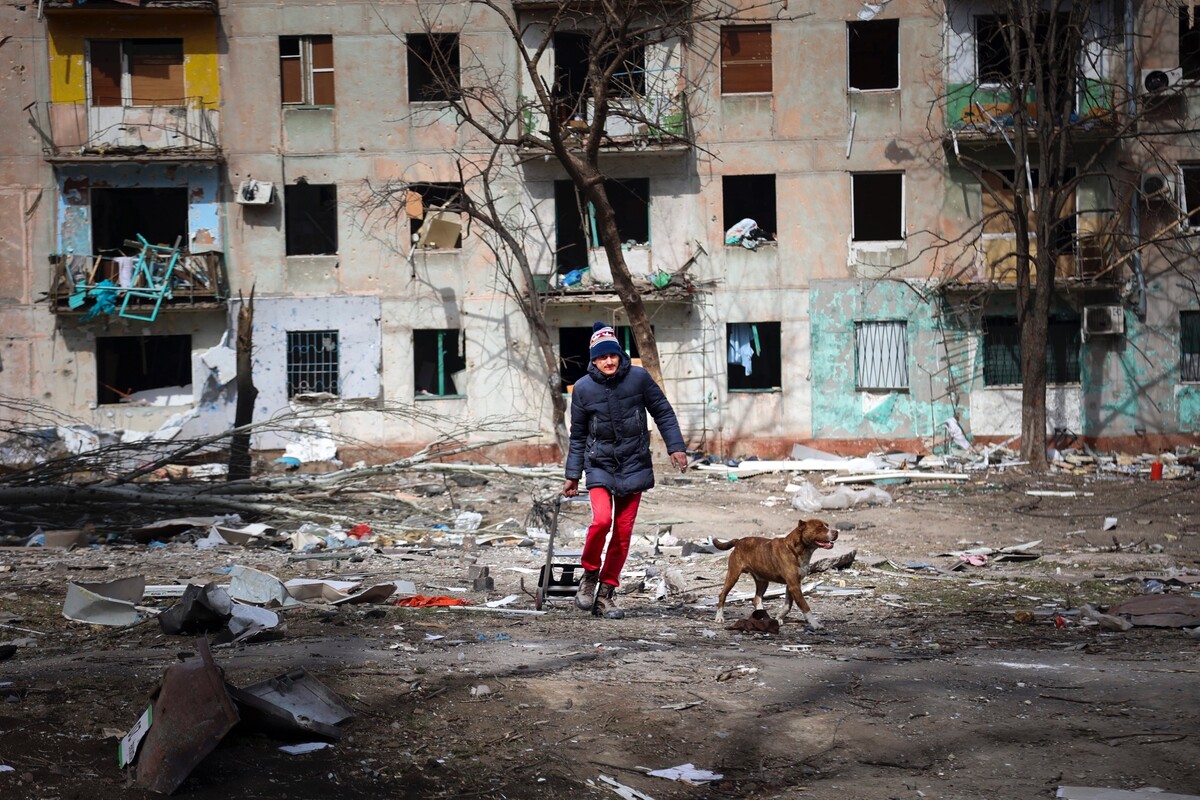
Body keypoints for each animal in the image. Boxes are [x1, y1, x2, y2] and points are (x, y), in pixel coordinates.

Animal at [705, 522, 840, 628]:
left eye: (827, 525)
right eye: (819, 527)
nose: (836, 532)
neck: (796, 549)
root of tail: (738, 541)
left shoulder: (792, 584)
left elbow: (788, 605)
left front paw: (779, 617)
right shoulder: (794, 585)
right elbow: (804, 606)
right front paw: (815, 624)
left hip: (763, 581)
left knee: (756, 599)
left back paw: (763, 617)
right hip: (733, 575)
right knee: (722, 595)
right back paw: (719, 617)